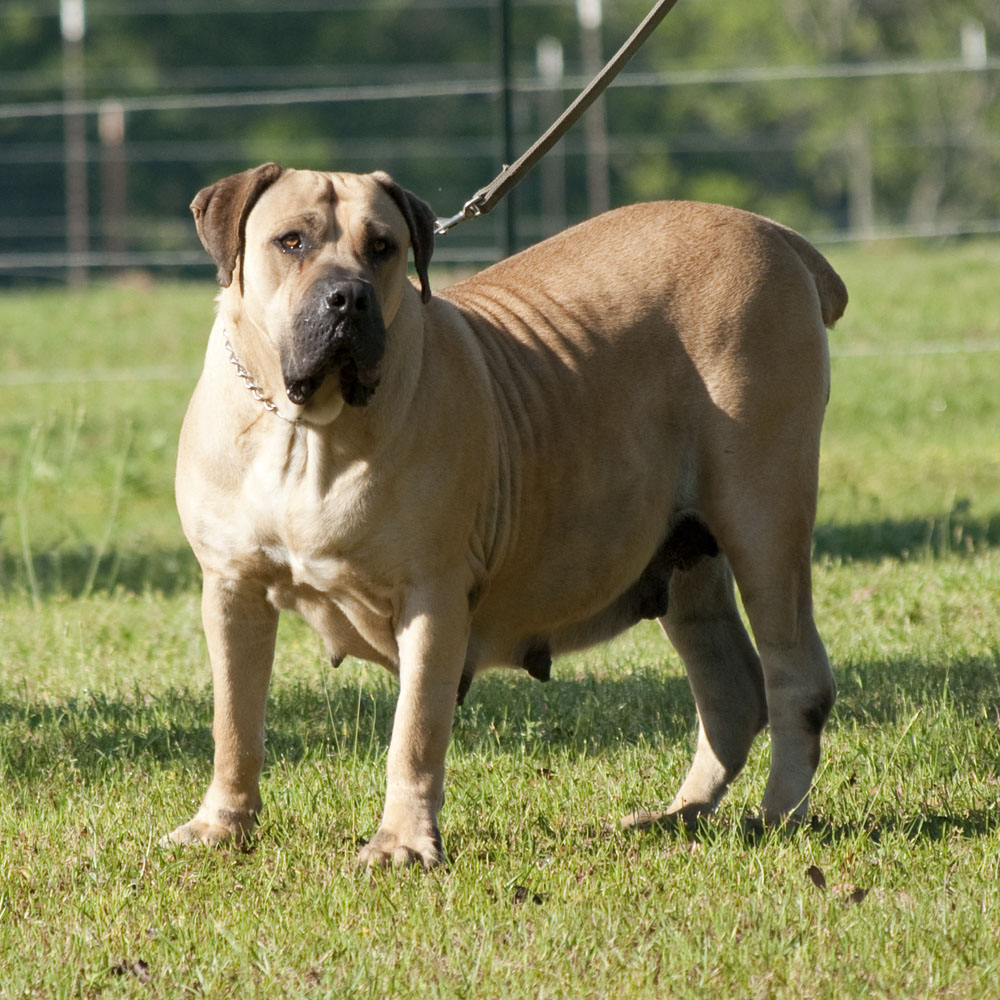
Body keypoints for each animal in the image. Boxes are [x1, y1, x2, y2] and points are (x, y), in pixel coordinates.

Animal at [168, 164, 848, 868]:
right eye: (291, 241)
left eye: (382, 247)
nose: (348, 298)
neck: (306, 433)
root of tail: (780, 236)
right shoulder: (232, 588)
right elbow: (234, 721)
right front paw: (222, 824)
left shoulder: (432, 597)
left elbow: (414, 731)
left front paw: (400, 842)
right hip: (691, 560)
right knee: (729, 689)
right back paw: (676, 815)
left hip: (764, 522)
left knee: (794, 676)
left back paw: (776, 817)